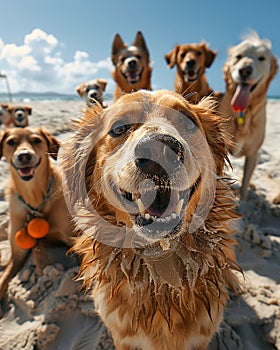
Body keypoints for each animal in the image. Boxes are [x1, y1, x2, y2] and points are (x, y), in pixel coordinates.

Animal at [0, 128, 74, 306]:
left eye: (36, 140)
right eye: (11, 141)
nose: (24, 156)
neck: (34, 197)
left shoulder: (72, 239)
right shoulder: (16, 254)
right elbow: (2, 280)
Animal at [219, 31, 278, 201]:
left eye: (261, 58)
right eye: (238, 56)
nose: (245, 70)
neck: (243, 113)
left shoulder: (253, 153)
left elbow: (245, 183)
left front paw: (243, 198)